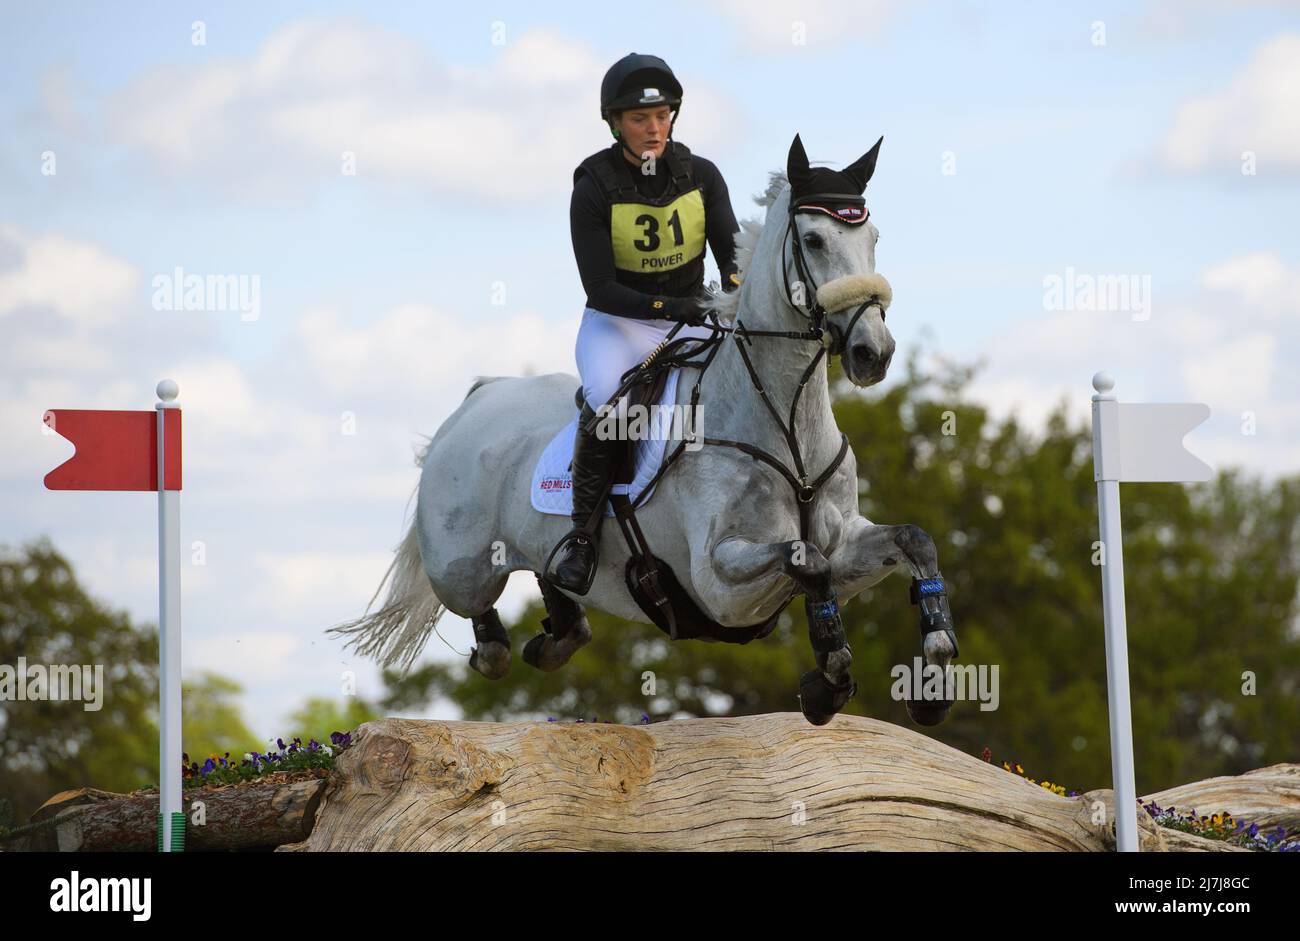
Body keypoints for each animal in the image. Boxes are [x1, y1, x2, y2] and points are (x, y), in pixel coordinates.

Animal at [330, 135, 961, 727]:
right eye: (813, 241)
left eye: (872, 236)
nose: (873, 353)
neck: (785, 423)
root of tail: (480, 398)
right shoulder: (719, 585)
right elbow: (808, 563)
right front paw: (828, 680)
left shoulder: (846, 539)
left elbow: (913, 542)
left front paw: (934, 678)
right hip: (460, 568)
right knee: (483, 625)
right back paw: (509, 639)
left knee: (552, 588)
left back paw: (558, 628)